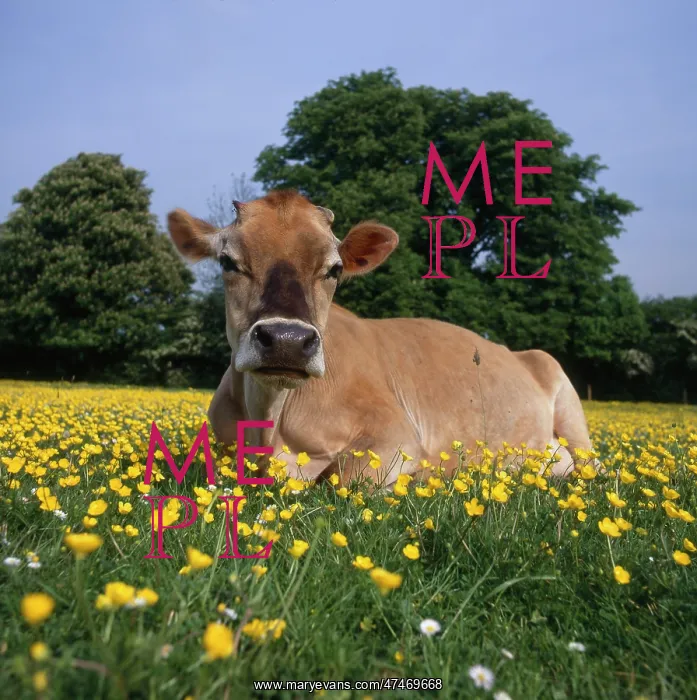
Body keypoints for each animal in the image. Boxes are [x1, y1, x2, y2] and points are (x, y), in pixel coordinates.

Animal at [167, 189, 594, 487]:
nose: (287, 338)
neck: (270, 422)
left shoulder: (396, 431)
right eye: (227, 261)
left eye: (335, 269)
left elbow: (346, 477)